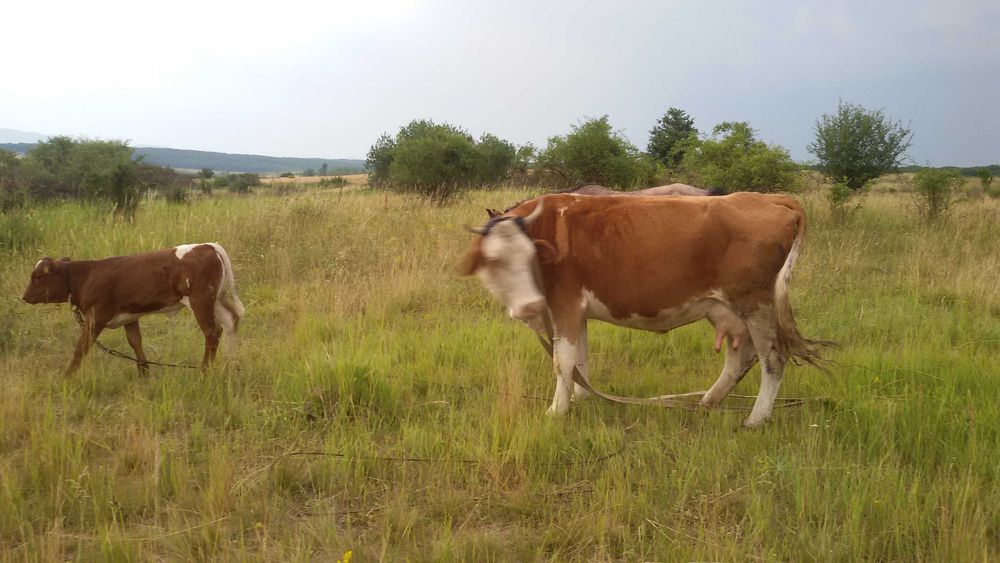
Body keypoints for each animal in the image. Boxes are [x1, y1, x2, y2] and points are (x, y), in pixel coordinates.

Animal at [22, 243, 245, 375]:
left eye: (38, 277)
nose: (24, 296)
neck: (86, 277)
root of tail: (207, 246)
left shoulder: (95, 318)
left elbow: (81, 347)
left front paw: (68, 376)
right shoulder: (130, 317)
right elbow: (135, 342)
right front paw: (144, 373)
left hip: (200, 301)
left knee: (212, 331)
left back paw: (205, 370)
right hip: (215, 300)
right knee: (230, 321)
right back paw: (230, 363)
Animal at [461, 193, 827, 427]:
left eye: (529, 257)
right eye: (494, 260)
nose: (530, 305)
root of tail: (769, 197)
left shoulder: (564, 306)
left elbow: (562, 362)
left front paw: (556, 411)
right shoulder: (577, 313)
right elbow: (580, 360)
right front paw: (582, 397)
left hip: (757, 304)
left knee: (773, 358)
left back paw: (756, 418)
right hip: (729, 309)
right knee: (741, 358)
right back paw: (707, 402)